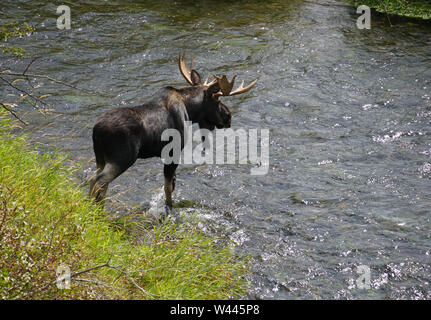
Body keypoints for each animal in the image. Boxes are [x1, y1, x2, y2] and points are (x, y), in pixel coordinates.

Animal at [88, 52, 256, 208]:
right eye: (217, 100)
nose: (229, 117)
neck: (190, 111)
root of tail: (97, 130)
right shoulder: (172, 152)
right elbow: (168, 188)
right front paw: (169, 207)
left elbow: (173, 184)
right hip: (122, 158)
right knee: (97, 180)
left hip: (100, 158)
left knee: (99, 183)